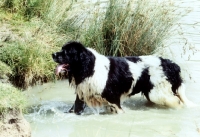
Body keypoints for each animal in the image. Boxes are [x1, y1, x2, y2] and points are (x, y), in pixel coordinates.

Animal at [52, 40, 195, 114]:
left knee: (177, 101)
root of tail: (169, 64)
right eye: (62, 49)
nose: (53, 54)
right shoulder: (82, 96)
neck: (89, 67)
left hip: (157, 93)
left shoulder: (113, 97)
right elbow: (75, 109)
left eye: (67, 52)